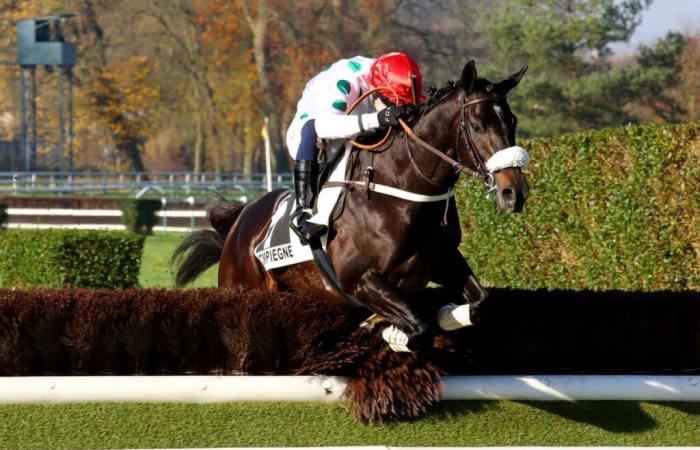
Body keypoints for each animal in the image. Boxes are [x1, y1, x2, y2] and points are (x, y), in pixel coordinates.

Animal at [175, 59, 532, 348]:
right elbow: (419, 330)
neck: (401, 191)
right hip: (241, 286)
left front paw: (440, 316)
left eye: (513, 121)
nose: (514, 192)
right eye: (477, 126)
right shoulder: (358, 278)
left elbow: (481, 301)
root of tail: (241, 218)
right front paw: (390, 333)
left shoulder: (443, 259)